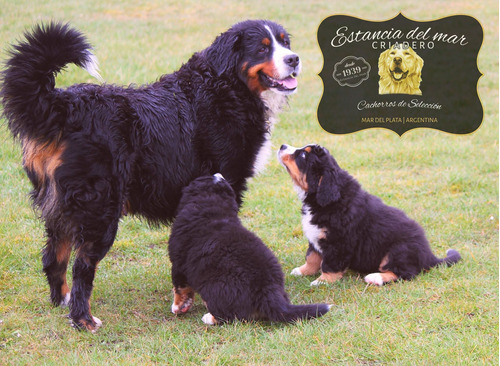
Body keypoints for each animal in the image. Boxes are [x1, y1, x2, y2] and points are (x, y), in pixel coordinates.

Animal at [0, 19, 300, 332]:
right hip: (100, 209)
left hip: (62, 209)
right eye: (262, 49)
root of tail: (65, 106)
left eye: (284, 42)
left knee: (53, 258)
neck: (226, 87)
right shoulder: (227, 181)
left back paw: (63, 302)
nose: (294, 59)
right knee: (81, 266)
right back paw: (83, 319)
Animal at [169, 174, 332, 326]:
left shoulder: (178, 263)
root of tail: (268, 289)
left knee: (229, 315)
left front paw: (177, 307)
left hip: (216, 287)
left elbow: (180, 287)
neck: (211, 208)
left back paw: (209, 317)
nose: (219, 174)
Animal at [278, 144, 460, 288]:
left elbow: (329, 264)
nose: (282, 145)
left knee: (405, 273)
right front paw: (302, 271)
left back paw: (375, 277)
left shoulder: (338, 242)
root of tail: (429, 255)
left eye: (303, 155)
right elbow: (312, 257)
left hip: (399, 249)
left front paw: (322, 281)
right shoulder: (316, 237)